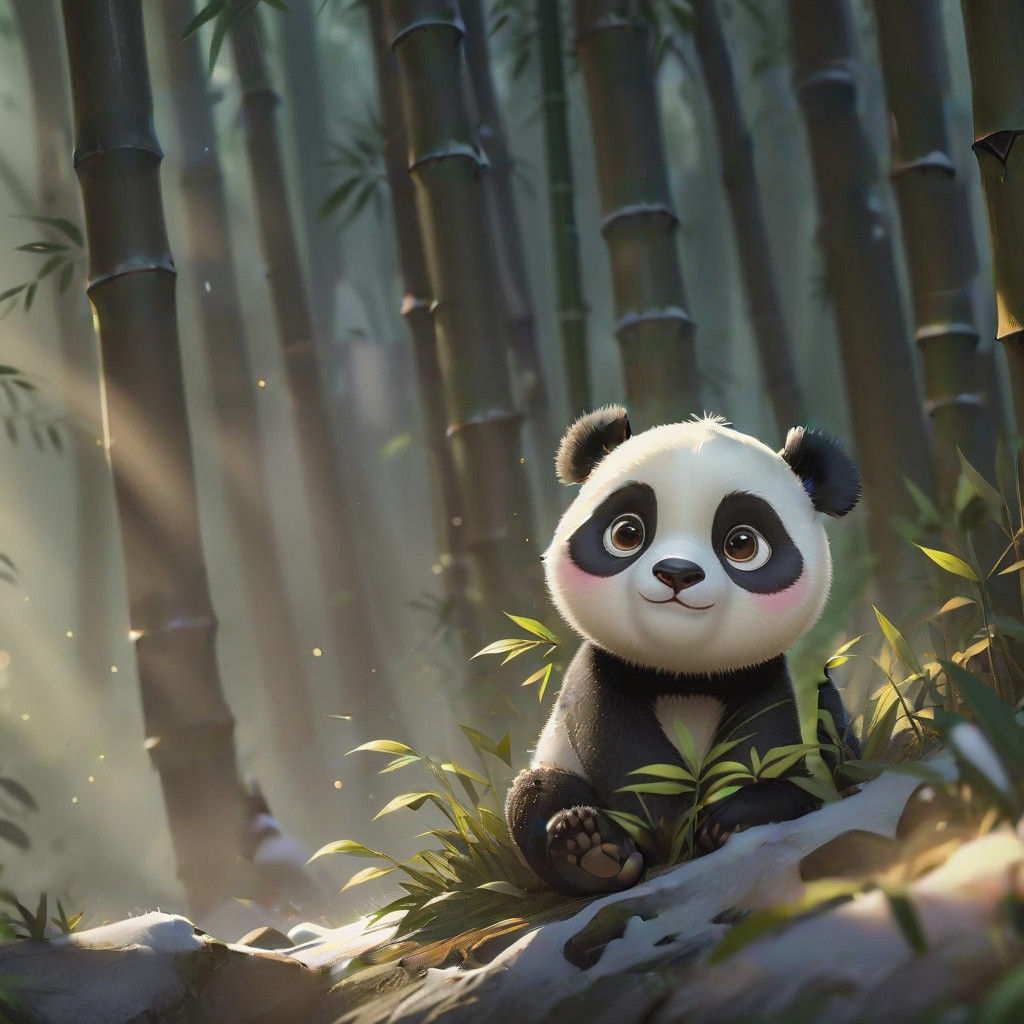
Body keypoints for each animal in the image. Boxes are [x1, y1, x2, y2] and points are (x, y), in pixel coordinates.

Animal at [505, 406, 862, 896]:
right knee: (536, 793)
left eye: (742, 543)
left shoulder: (768, 673)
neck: (682, 673)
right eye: (627, 533)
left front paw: (726, 817)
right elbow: (625, 749)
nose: (677, 572)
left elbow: (764, 739)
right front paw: (670, 824)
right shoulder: (601, 670)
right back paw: (589, 849)